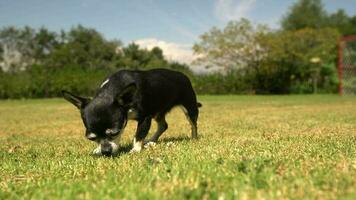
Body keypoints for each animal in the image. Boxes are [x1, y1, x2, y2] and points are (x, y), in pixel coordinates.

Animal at [62, 68, 202, 156]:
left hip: (189, 107)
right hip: (158, 111)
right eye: (92, 138)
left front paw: (136, 149)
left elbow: (139, 134)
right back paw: (152, 140)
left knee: (193, 124)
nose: (106, 152)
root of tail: (184, 76)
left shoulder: (145, 117)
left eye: (115, 133)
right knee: (163, 125)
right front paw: (98, 149)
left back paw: (194, 138)